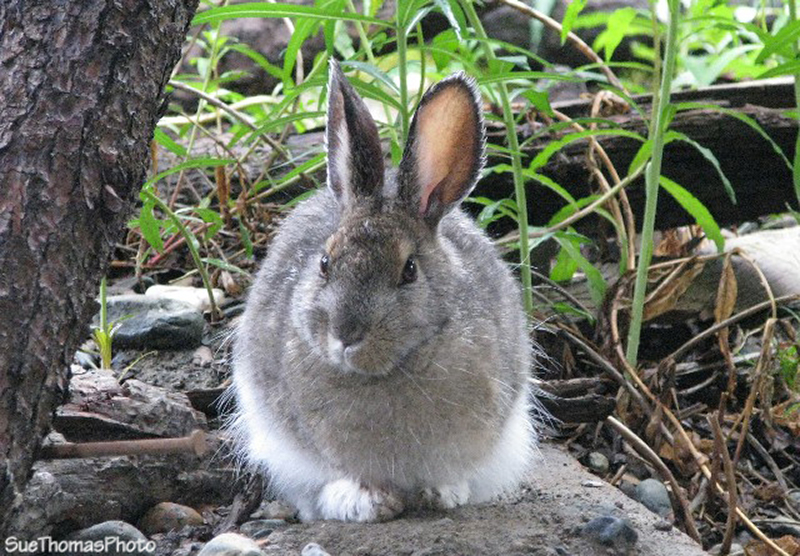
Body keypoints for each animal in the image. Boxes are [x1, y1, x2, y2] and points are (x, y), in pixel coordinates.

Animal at [230, 59, 537, 523]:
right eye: (324, 263)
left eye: (409, 271)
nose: (346, 335)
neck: (390, 369)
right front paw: (366, 502)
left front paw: (443, 493)